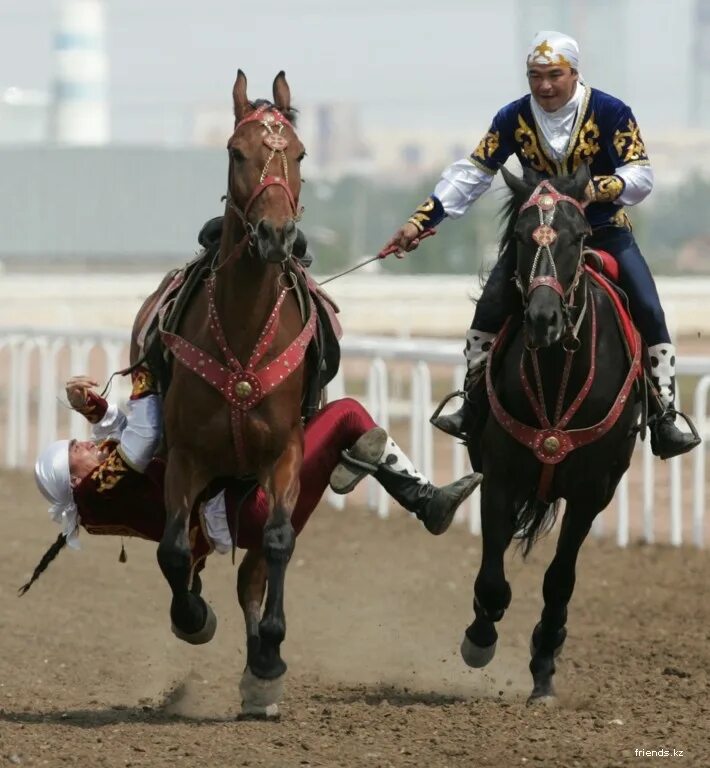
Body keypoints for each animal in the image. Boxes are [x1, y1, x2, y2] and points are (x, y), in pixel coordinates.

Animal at [134, 69, 312, 716]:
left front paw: (270, 654)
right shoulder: (186, 456)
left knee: (253, 571)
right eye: (237, 152)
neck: (241, 327)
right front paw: (193, 616)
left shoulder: (283, 454)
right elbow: (171, 550)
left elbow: (278, 544)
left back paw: (260, 668)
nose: (275, 236)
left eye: (298, 154)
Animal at [462, 165, 644, 704]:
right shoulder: (499, 479)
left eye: (579, 235)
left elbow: (560, 579)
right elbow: (493, 577)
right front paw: (479, 638)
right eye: (522, 236)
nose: (543, 319)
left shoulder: (591, 493)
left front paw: (544, 661)